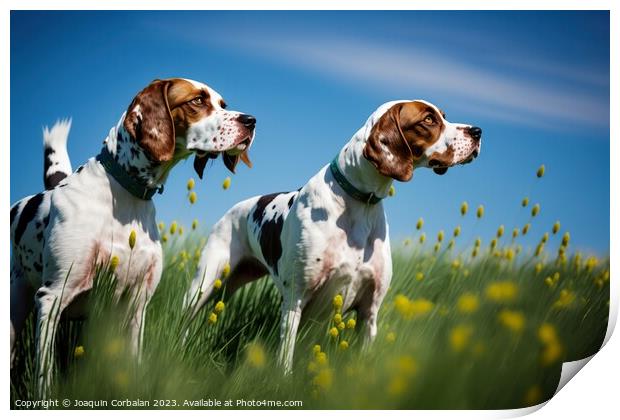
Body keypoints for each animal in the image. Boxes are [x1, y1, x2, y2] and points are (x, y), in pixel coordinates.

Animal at [7, 77, 254, 392]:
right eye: (197, 101)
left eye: (223, 104)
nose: (251, 121)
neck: (127, 196)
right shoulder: (52, 297)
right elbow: (44, 376)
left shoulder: (137, 303)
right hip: (16, 307)